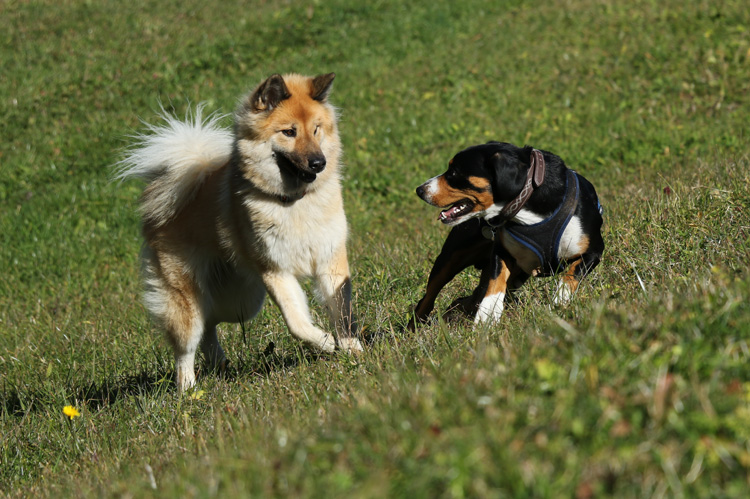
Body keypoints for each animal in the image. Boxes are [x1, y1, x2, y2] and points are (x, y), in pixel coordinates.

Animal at [117, 73, 364, 390]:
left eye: (316, 129)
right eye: (289, 132)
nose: (318, 163)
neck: (293, 202)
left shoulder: (330, 259)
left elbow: (342, 310)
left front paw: (351, 347)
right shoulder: (274, 270)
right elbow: (296, 322)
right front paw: (323, 341)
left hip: (240, 299)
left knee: (210, 324)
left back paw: (218, 365)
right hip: (188, 297)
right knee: (187, 343)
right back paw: (188, 388)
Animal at [412, 142, 604, 328]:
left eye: (453, 172)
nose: (419, 190)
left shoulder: (593, 251)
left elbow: (571, 275)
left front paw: (560, 301)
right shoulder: (502, 251)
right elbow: (496, 283)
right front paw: (488, 314)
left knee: (463, 301)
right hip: (450, 258)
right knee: (427, 301)